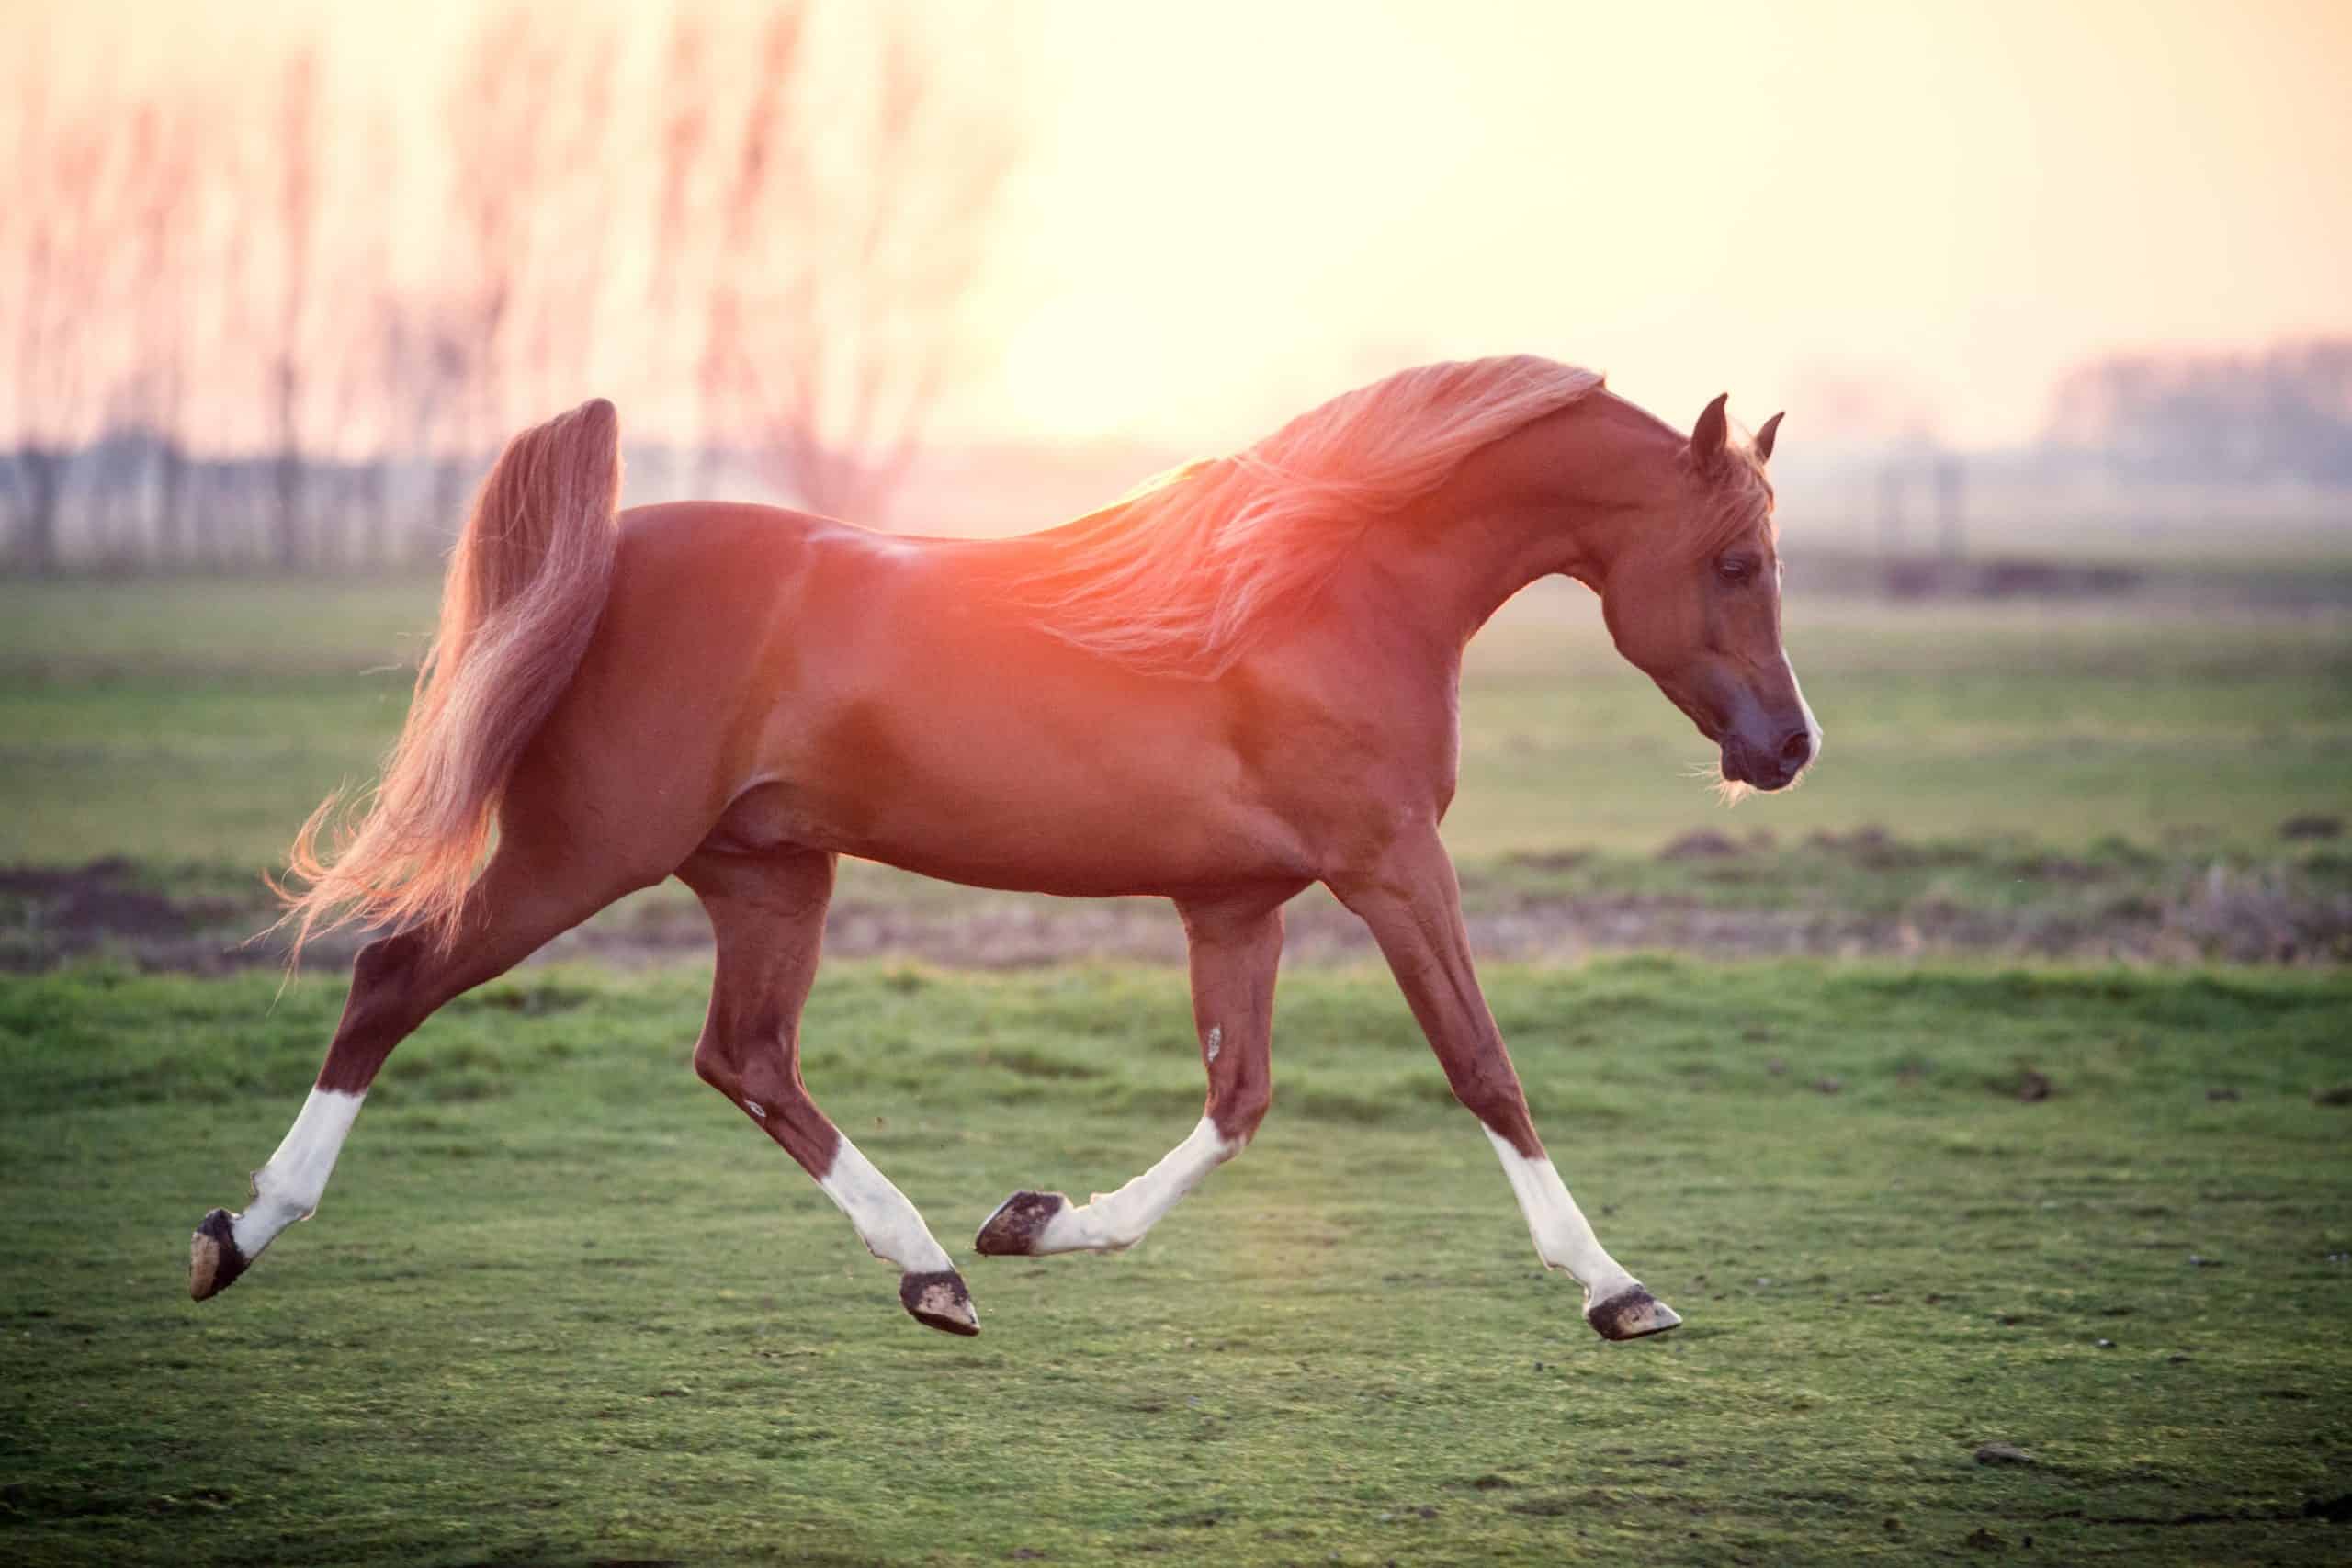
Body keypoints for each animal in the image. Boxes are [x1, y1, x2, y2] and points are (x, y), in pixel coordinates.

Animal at [198, 359, 1815, 1354]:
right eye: (1736, 561)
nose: (1789, 747)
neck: (1325, 589)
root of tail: (612, 549)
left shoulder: (1237, 902)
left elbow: (1238, 1101)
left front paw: (1037, 1221)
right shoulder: (1393, 867)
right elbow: (1484, 1066)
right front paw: (1619, 1287)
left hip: (767, 874)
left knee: (747, 1057)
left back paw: (935, 1267)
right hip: (580, 850)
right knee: (395, 977)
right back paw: (239, 1229)